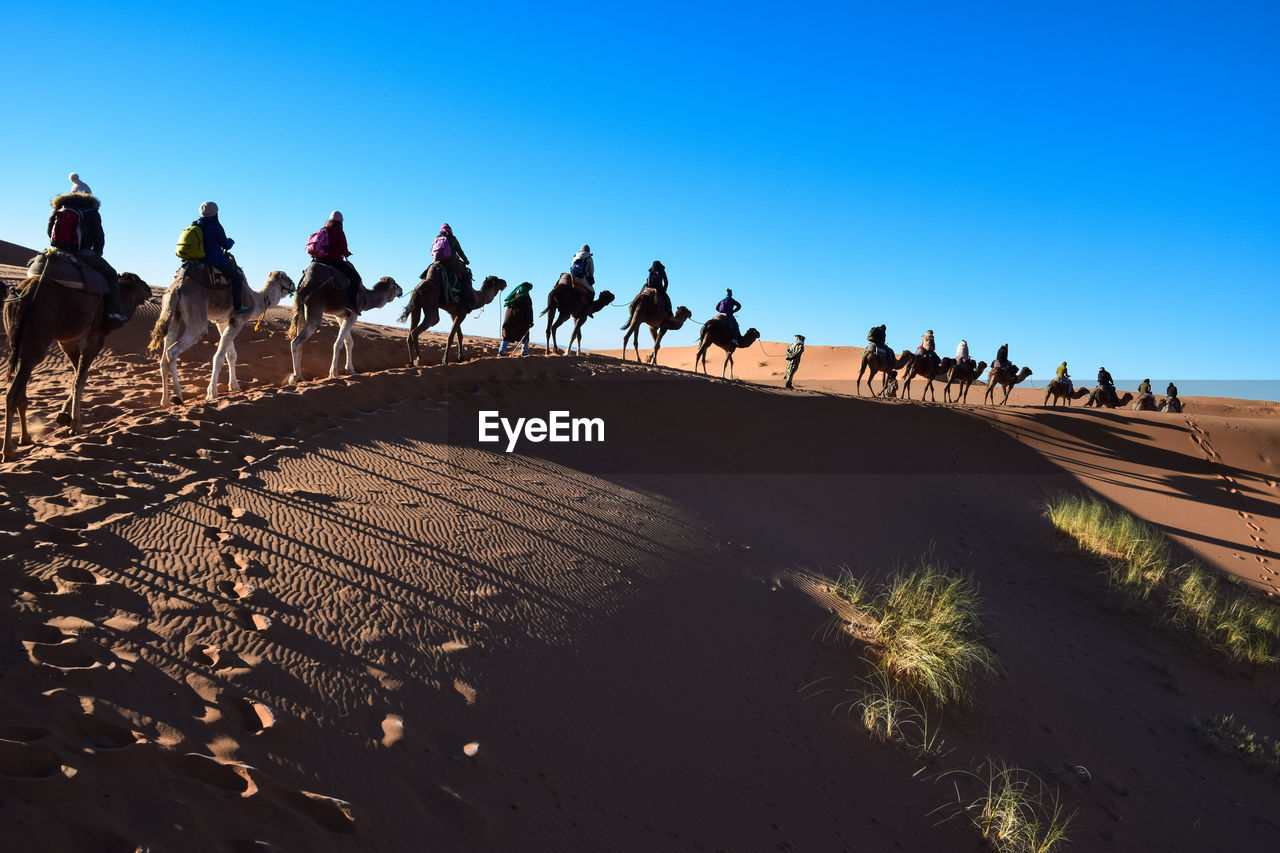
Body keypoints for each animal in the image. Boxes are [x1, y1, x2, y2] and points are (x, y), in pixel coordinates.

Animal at [3, 270, 149, 458]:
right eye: (139, 282)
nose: (149, 289)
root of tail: (25, 292)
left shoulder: (67, 341)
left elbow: (79, 376)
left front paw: (64, 416)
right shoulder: (96, 336)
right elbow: (79, 380)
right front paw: (76, 426)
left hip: (20, 343)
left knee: (21, 393)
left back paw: (25, 438)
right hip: (36, 341)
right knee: (13, 394)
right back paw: (8, 451)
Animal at [149, 268, 296, 409]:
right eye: (286, 278)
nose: (294, 285)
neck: (255, 298)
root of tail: (176, 289)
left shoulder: (223, 321)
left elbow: (231, 355)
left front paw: (235, 386)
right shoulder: (238, 319)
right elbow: (218, 357)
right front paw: (212, 393)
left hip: (173, 315)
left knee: (164, 357)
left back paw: (165, 401)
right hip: (197, 319)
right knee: (172, 351)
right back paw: (178, 396)